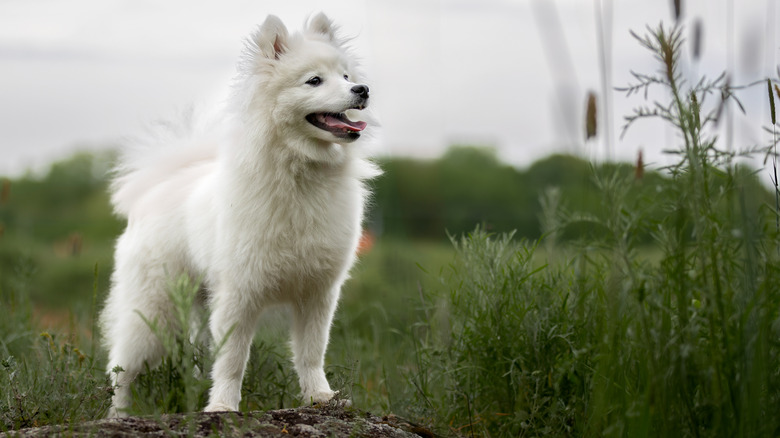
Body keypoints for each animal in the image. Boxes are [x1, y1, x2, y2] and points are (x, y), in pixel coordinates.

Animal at [99, 13, 380, 418]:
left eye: (344, 76)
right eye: (314, 80)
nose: (362, 89)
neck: (301, 174)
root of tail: (161, 184)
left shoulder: (318, 292)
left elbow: (311, 353)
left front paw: (320, 397)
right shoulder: (239, 294)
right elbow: (232, 360)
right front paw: (222, 406)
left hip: (197, 302)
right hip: (152, 309)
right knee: (122, 369)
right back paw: (118, 416)